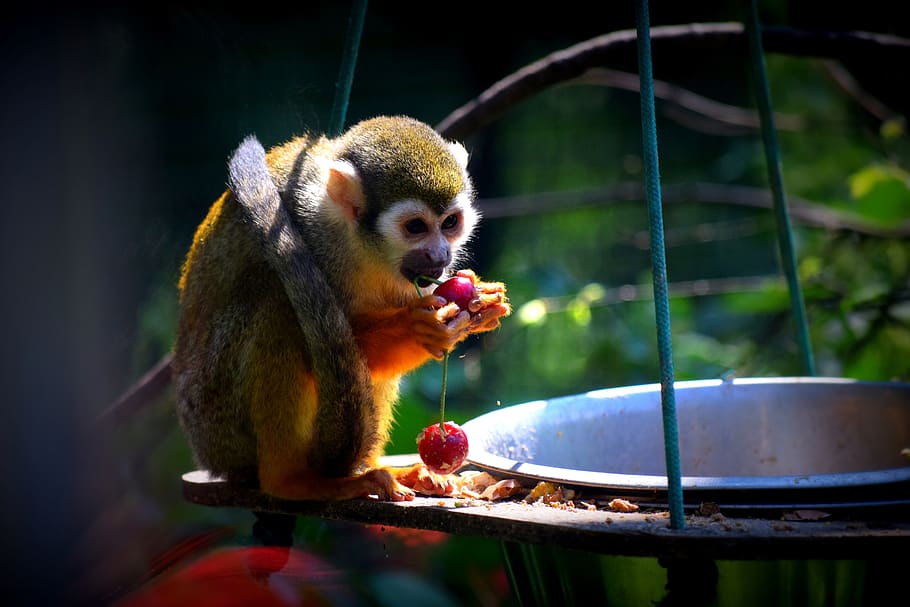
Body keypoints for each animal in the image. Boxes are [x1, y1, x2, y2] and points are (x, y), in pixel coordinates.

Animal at [172, 115, 510, 502]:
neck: (361, 244)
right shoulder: (306, 229)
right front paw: (417, 327)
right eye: (415, 227)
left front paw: (482, 302)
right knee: (277, 307)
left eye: (450, 223)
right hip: (220, 422)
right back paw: (293, 481)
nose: (440, 255)